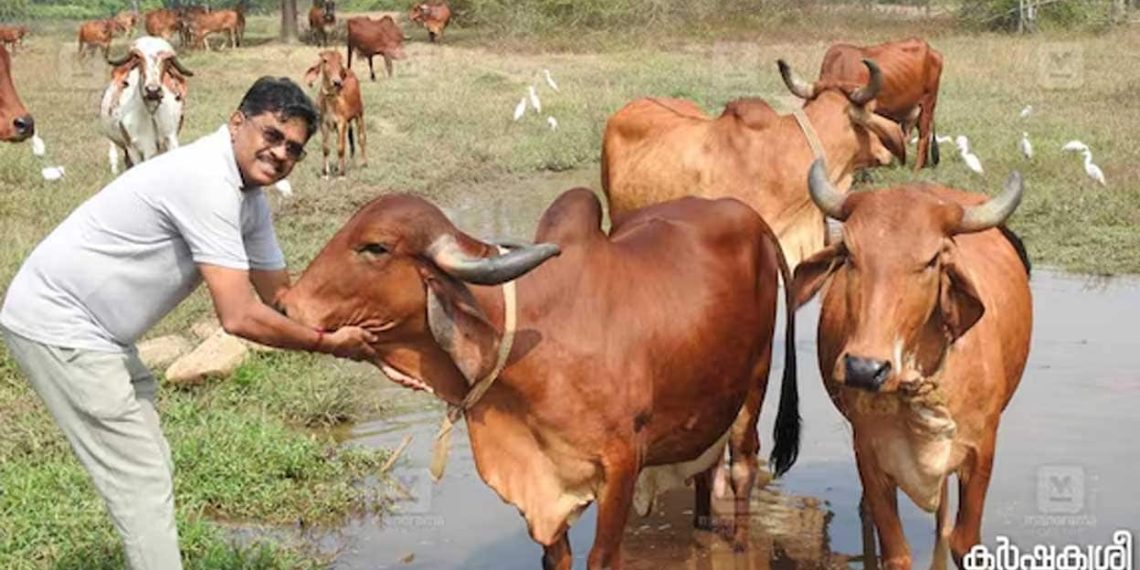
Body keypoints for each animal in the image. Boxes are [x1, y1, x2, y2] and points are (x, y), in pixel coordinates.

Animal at [99, 36, 193, 174]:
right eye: (138, 57)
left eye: (167, 59)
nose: (152, 90)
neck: (151, 112)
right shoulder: (134, 148)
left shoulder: (171, 139)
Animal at [278, 189, 802, 568]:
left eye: (376, 247)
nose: (287, 304)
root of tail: (748, 215)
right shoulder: (544, 490)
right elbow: (557, 557)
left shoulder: (621, 465)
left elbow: (602, 558)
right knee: (705, 473)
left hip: (754, 381)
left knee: (742, 468)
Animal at [792, 159, 1032, 570]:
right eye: (850, 254)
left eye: (932, 260)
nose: (864, 368)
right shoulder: (869, 454)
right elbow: (895, 552)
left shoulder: (982, 449)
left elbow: (964, 543)